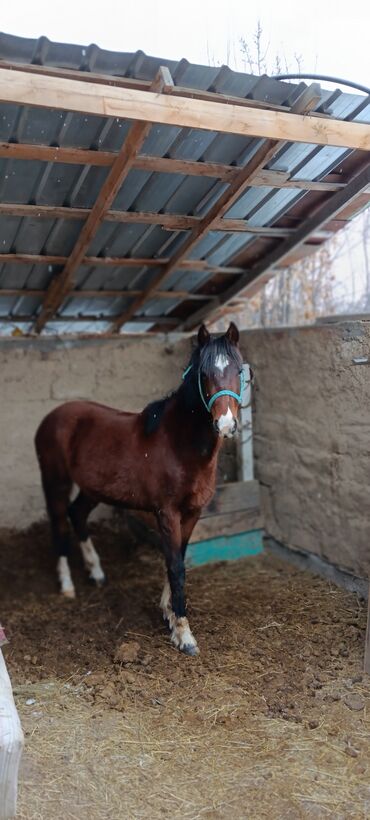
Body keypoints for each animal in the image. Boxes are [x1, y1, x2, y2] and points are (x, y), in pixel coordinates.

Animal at [36, 324, 247, 656]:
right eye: (204, 374)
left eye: (238, 370)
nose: (225, 424)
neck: (178, 443)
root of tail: (51, 418)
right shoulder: (167, 513)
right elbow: (175, 566)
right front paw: (184, 635)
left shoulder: (192, 513)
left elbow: (178, 558)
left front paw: (169, 614)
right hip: (55, 482)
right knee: (59, 523)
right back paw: (67, 586)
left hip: (93, 489)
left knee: (77, 514)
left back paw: (96, 573)